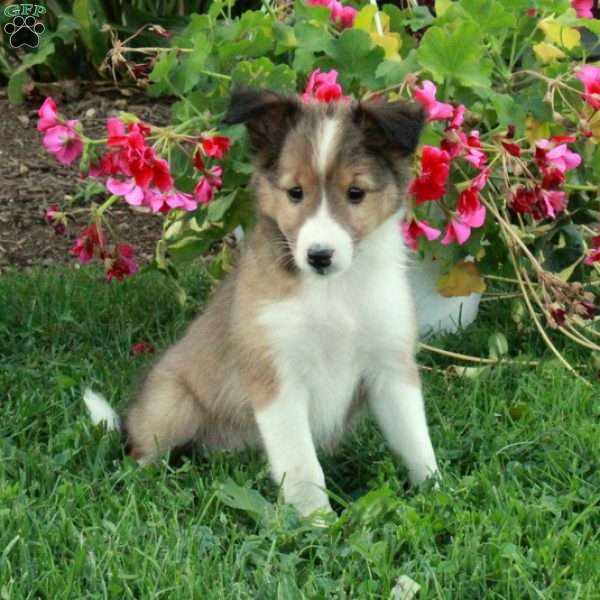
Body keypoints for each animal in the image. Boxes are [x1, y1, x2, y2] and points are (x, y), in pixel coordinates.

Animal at [85, 89, 440, 516]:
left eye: (356, 193)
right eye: (295, 192)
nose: (319, 256)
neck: (334, 291)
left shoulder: (390, 366)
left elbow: (416, 442)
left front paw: (437, 494)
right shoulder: (278, 378)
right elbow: (303, 467)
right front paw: (319, 523)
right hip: (173, 403)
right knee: (143, 451)